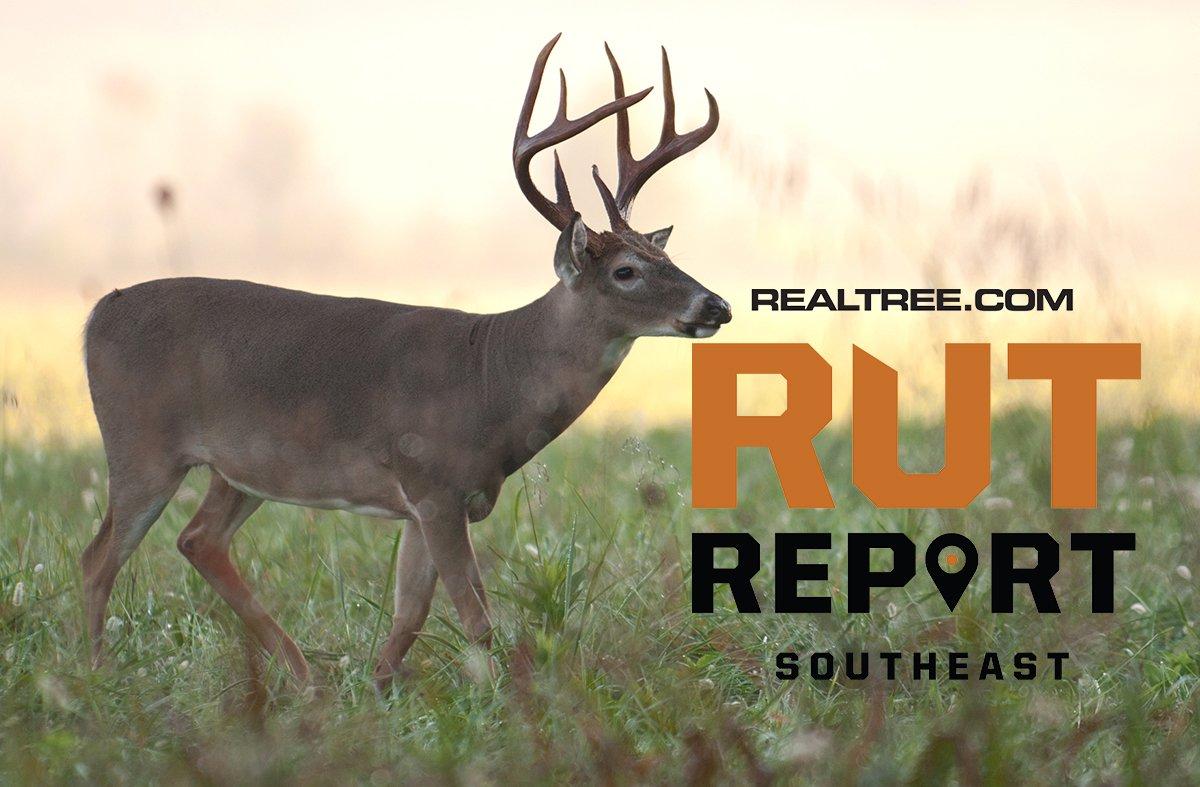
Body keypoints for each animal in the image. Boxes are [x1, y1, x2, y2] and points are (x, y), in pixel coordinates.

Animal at [80, 33, 730, 690]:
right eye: (626, 271)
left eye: (666, 256)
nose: (717, 305)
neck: (492, 380)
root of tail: (97, 314)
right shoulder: (432, 483)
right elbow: (475, 615)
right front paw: (505, 699)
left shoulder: (427, 504)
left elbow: (410, 614)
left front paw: (376, 690)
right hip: (141, 444)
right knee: (98, 556)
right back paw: (95, 671)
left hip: (240, 467)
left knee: (198, 541)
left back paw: (303, 676)